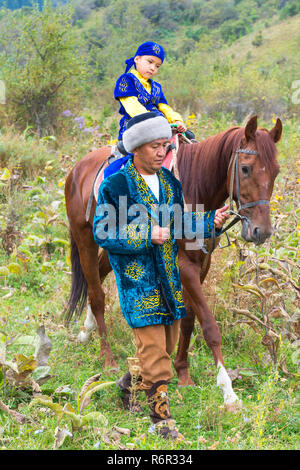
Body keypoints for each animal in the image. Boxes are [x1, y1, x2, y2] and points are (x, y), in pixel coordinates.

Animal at [63, 116, 282, 408]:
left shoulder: (201, 264)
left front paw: (183, 373)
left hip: (120, 248)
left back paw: (86, 332)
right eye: (245, 168)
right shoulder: (184, 266)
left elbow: (188, 319)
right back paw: (107, 358)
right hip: (85, 237)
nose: (261, 231)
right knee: (97, 294)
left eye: (276, 171)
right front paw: (228, 391)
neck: (196, 189)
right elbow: (209, 325)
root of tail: (77, 169)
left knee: (95, 278)